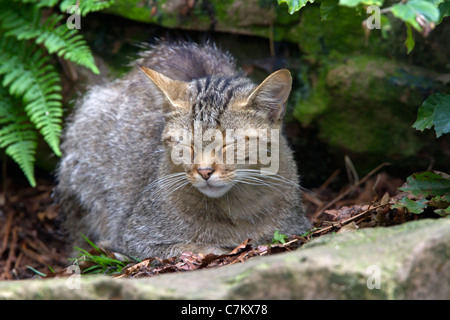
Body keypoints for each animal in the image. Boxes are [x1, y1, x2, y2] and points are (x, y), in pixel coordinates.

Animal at [55, 40, 310, 260]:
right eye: (186, 144)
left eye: (229, 143)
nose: (204, 171)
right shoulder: (138, 237)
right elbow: (197, 247)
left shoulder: (296, 226)